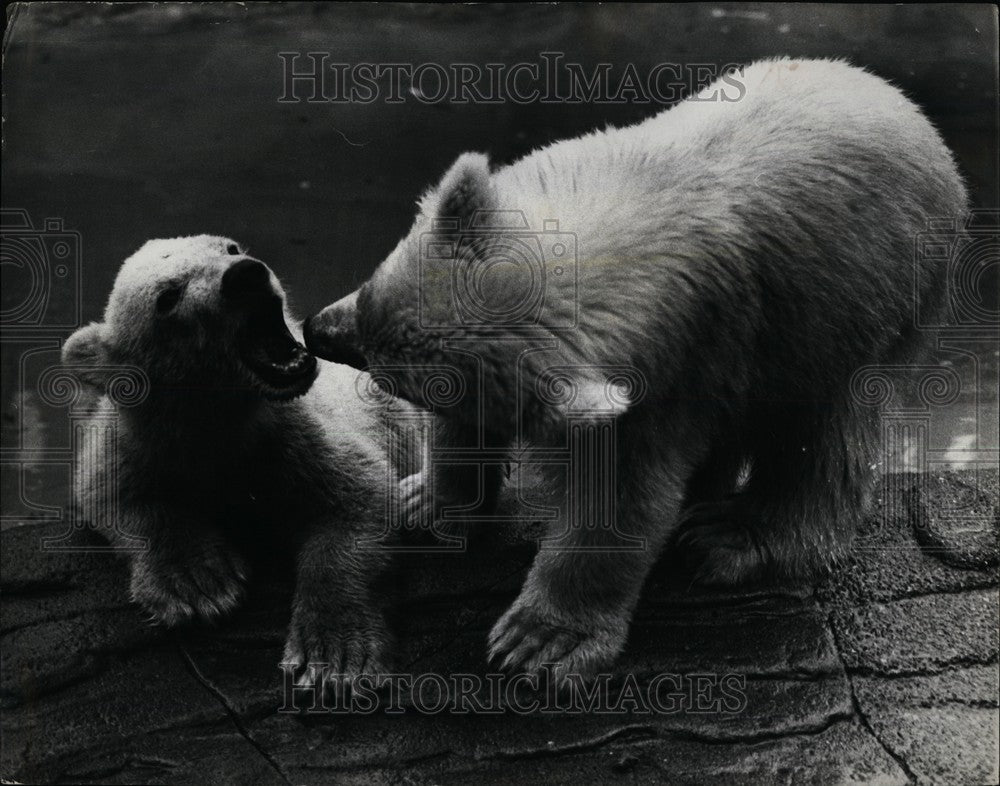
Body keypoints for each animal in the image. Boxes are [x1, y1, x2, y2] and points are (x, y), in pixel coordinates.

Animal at [62, 235, 421, 691]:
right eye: (167, 297)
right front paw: (197, 583)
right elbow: (106, 489)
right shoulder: (137, 438)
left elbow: (362, 491)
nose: (245, 275)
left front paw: (335, 654)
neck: (221, 421)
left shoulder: (295, 437)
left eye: (229, 248)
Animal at [303, 58, 969, 679]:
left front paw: (540, 640)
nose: (316, 331)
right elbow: (468, 434)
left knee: (820, 435)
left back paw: (730, 537)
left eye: (386, 370)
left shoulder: (677, 362)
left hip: (863, 314)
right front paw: (424, 501)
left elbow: (620, 496)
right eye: (369, 293)